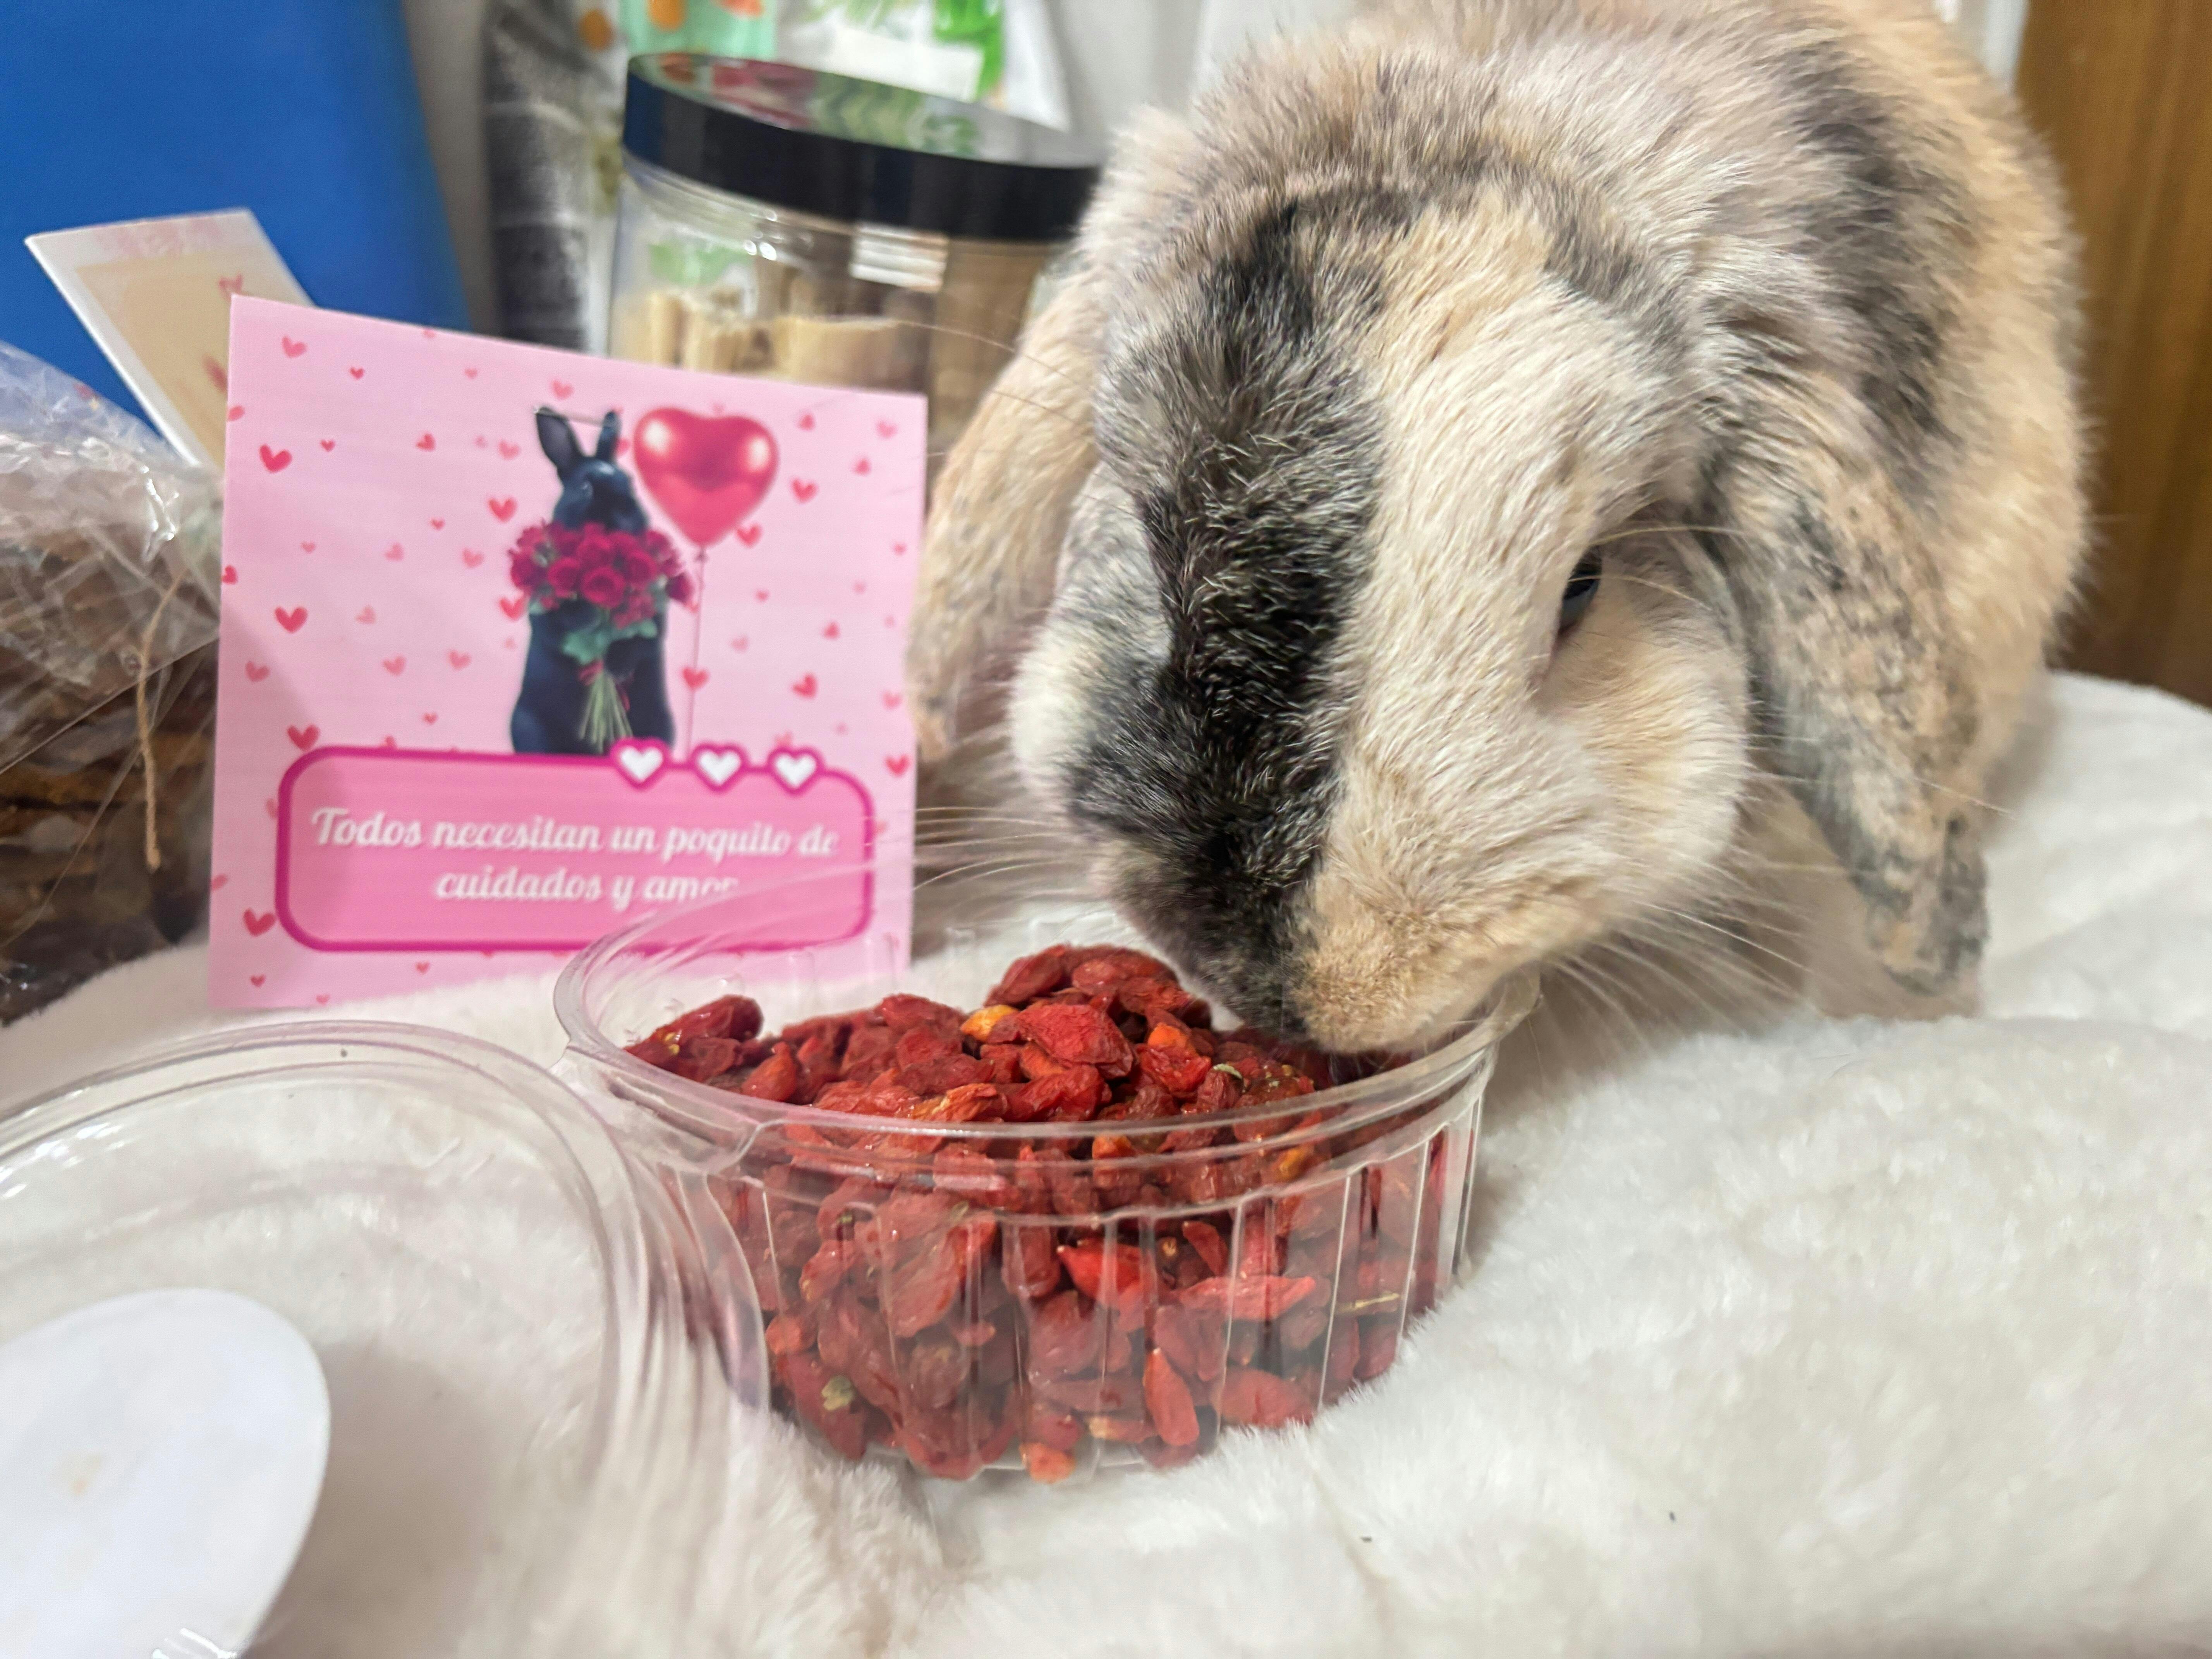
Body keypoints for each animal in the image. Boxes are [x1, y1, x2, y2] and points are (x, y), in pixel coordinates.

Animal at [511, 408, 678, 756]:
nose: (623, 517)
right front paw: (588, 621)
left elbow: (643, 640)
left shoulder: (655, 616)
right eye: (585, 487)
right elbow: (559, 626)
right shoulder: (544, 609)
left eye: (630, 483)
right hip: (529, 729)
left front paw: (616, 666)